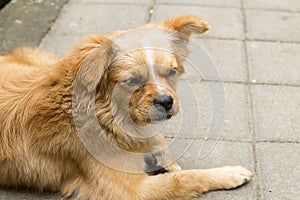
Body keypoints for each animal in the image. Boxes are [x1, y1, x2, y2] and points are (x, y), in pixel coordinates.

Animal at [0, 14, 253, 199]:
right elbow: (183, 179)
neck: (107, 118)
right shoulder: (128, 190)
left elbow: (161, 145)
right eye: (132, 81)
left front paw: (165, 158)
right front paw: (228, 173)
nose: (166, 102)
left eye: (171, 72)